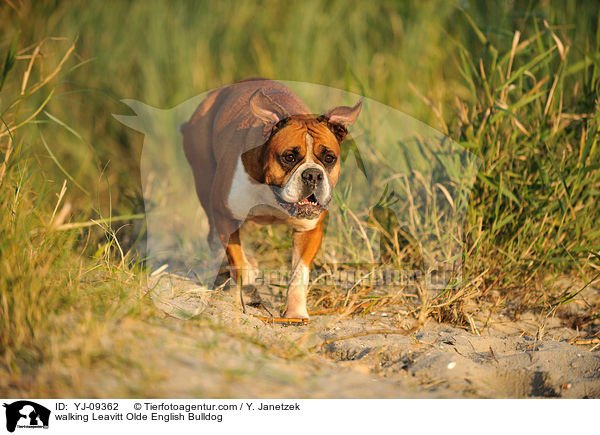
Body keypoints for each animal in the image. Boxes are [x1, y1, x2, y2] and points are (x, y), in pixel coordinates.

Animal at [180, 78, 360, 318]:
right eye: (289, 157)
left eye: (329, 158)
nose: (313, 174)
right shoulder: (224, 214)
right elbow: (236, 256)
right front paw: (246, 282)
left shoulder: (309, 230)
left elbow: (299, 274)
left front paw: (295, 313)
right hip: (204, 179)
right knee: (215, 238)